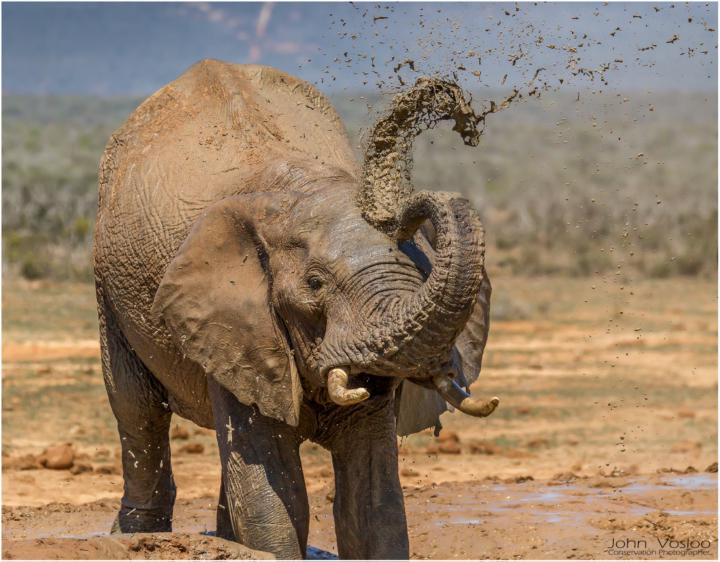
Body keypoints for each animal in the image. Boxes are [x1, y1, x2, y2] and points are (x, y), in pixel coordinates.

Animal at [93, 59, 497, 559]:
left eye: (419, 270)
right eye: (315, 285)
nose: (462, 118)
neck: (296, 191)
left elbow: (373, 499)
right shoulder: (235, 325)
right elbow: (274, 495)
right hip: (109, 289)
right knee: (137, 408)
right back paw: (137, 537)